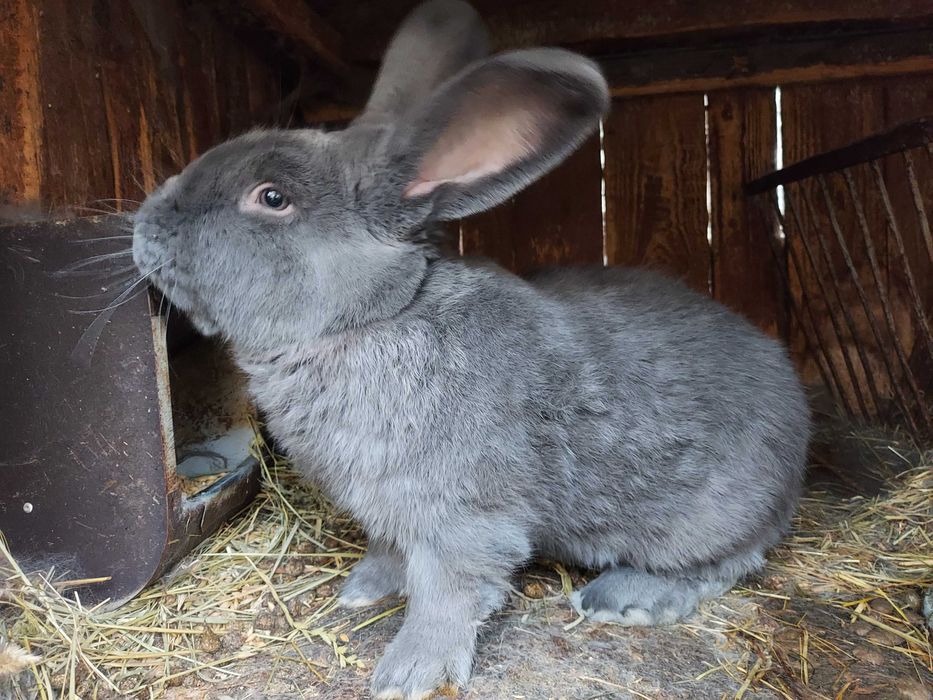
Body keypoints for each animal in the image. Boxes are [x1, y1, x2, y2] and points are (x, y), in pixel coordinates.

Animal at [131, 1, 810, 697]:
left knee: (724, 563)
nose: (143, 226)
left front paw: (408, 673)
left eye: (272, 198)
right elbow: (390, 553)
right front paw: (364, 590)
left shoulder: (463, 518)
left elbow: (448, 594)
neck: (375, 318)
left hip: (709, 517)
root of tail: (797, 417)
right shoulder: (389, 511)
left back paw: (624, 599)